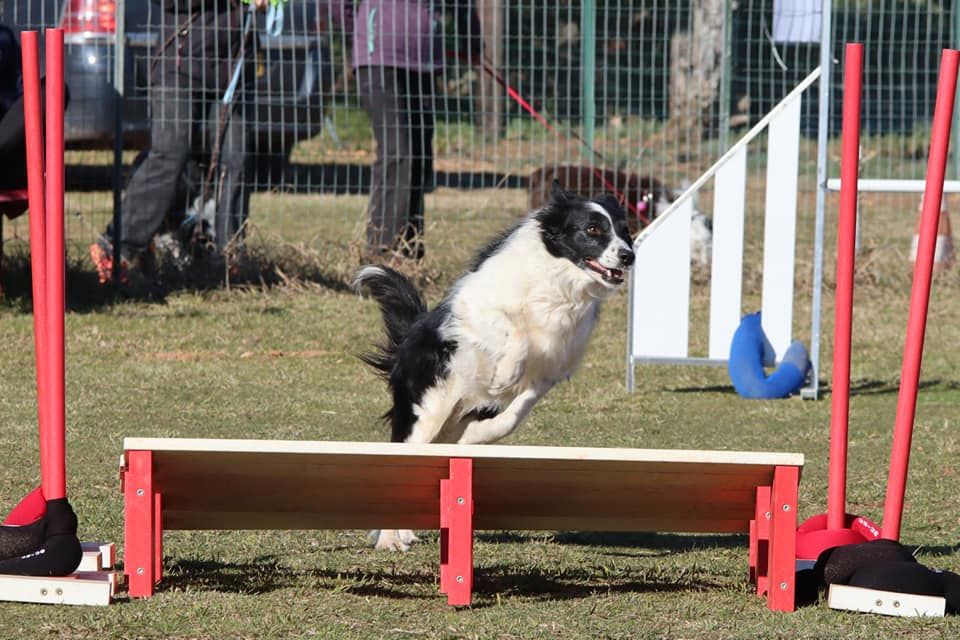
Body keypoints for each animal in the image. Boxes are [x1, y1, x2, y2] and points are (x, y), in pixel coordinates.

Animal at [356, 184, 632, 552]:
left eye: (624, 230)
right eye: (593, 229)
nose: (629, 256)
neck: (558, 277)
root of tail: (408, 338)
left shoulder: (553, 365)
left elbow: (516, 412)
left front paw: (481, 433)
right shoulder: (473, 308)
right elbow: (514, 330)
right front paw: (503, 376)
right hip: (428, 409)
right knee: (403, 456)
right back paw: (390, 538)